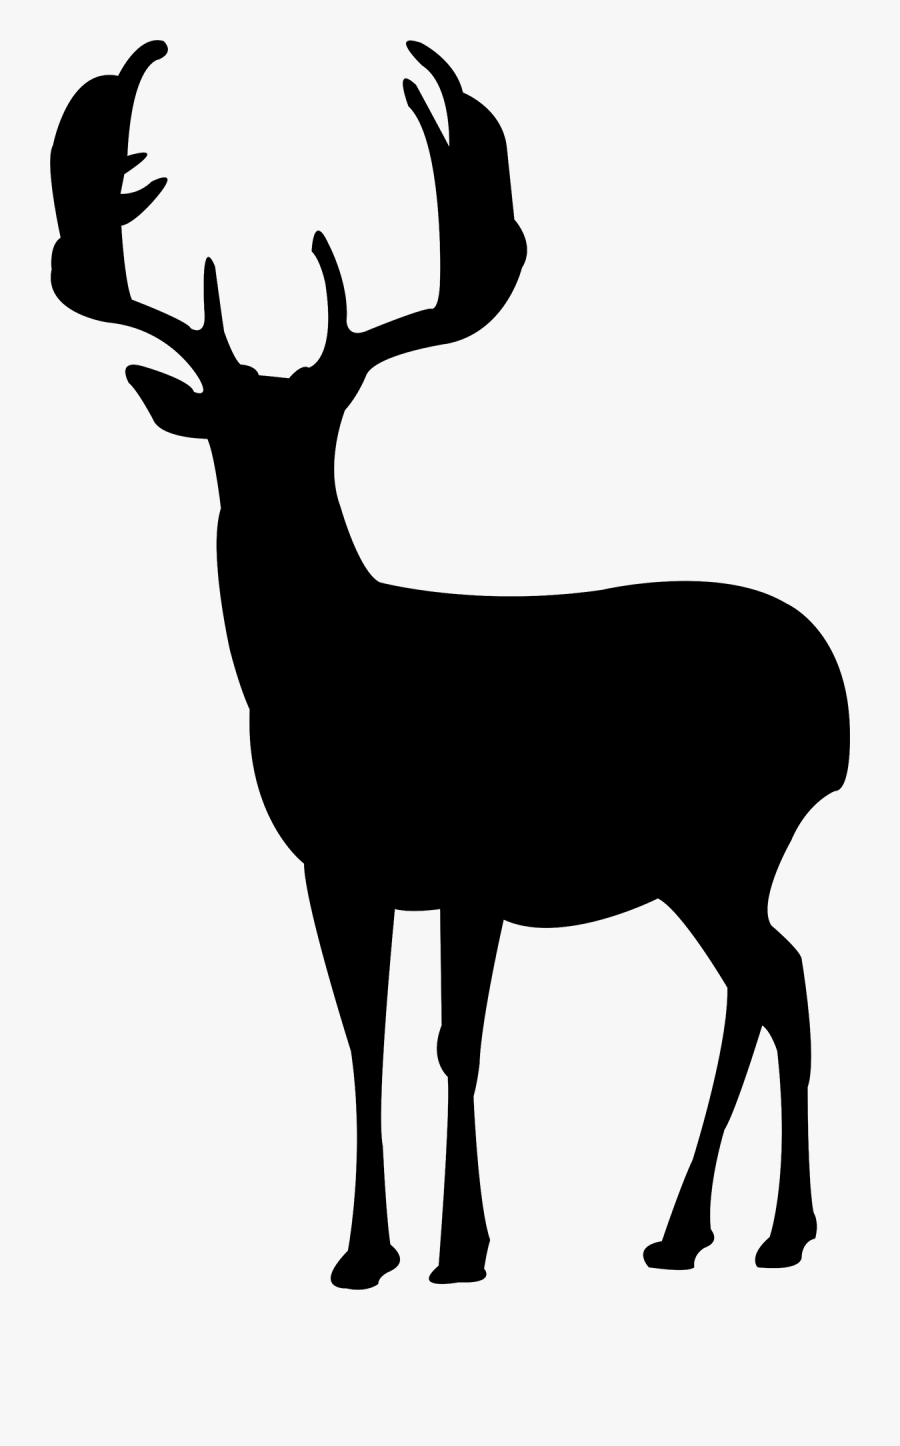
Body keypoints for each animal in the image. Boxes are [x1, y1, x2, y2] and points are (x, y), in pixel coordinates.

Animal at [51, 39, 849, 1289]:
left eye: (327, 420)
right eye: (223, 428)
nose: (269, 507)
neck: (342, 682)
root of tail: (839, 705)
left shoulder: (477, 856)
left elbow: (454, 1043)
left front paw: (462, 1247)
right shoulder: (339, 866)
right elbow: (364, 1040)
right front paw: (364, 1251)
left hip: (729, 834)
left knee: (782, 985)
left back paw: (764, 1232)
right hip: (710, 858)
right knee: (764, 986)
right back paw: (696, 1231)